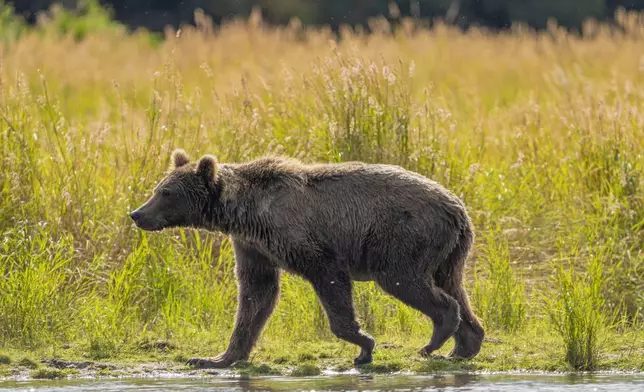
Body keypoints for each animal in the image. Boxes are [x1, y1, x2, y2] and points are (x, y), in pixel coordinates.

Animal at [130, 149, 484, 368]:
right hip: (450, 250)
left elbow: (329, 279)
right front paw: (217, 357)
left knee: (406, 280)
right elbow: (255, 295)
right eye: (158, 188)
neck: (244, 213)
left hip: (403, 236)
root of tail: (457, 207)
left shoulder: (301, 238)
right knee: (454, 286)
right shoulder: (253, 246)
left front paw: (364, 345)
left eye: (166, 193)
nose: (137, 214)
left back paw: (434, 340)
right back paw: (463, 346)